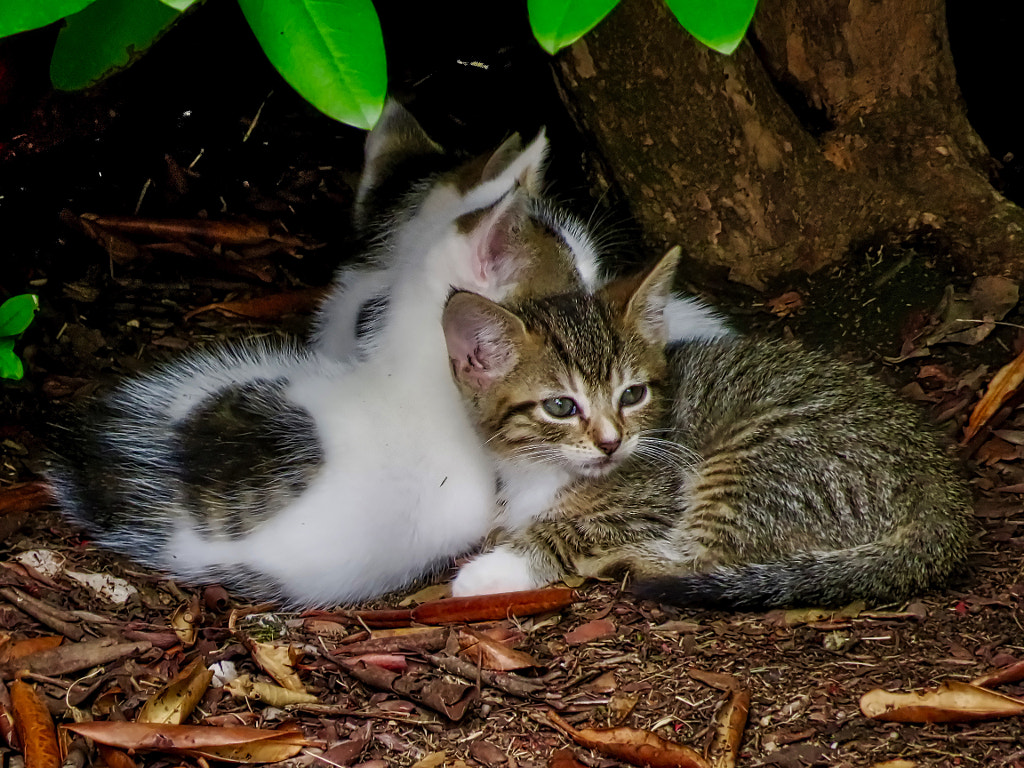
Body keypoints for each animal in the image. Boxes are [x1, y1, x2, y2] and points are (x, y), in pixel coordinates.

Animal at [444, 249, 970, 610]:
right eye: (560, 406)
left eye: (632, 395)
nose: (612, 442)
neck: (539, 471)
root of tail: (943, 489)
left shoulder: (657, 494)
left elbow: (575, 528)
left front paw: (494, 569)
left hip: (760, 459)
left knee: (702, 559)